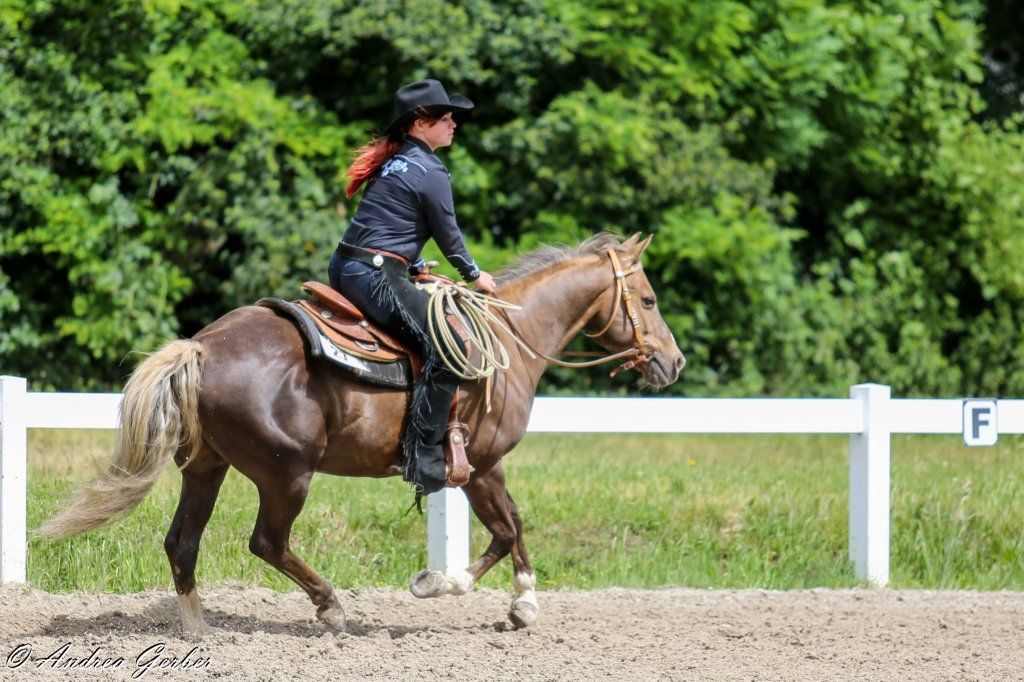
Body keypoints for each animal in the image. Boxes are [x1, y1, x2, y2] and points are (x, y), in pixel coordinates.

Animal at [39, 231, 684, 634]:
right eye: (650, 299)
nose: (672, 363)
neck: (507, 343)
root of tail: (201, 346)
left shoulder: (480, 468)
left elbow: (512, 528)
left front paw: (516, 603)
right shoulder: (480, 464)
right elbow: (507, 531)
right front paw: (455, 588)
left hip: (206, 468)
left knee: (182, 543)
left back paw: (200, 631)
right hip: (286, 474)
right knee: (266, 543)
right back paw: (331, 609)